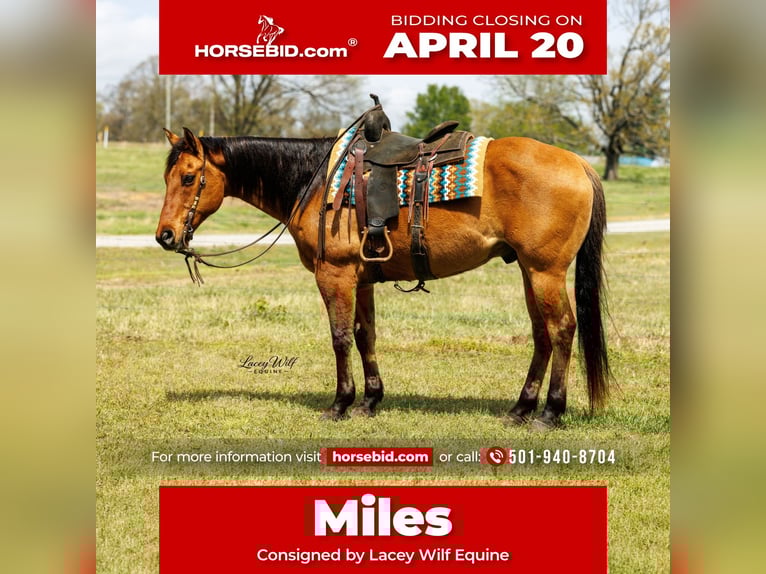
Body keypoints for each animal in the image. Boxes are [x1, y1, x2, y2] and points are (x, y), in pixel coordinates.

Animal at [156, 126, 610, 430]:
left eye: (189, 177)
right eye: (167, 177)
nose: (165, 235)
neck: (315, 181)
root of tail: (578, 163)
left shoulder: (335, 275)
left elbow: (339, 338)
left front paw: (341, 403)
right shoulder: (361, 280)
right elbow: (364, 336)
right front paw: (370, 400)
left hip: (545, 271)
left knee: (562, 329)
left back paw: (550, 412)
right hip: (530, 272)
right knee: (542, 334)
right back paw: (521, 409)